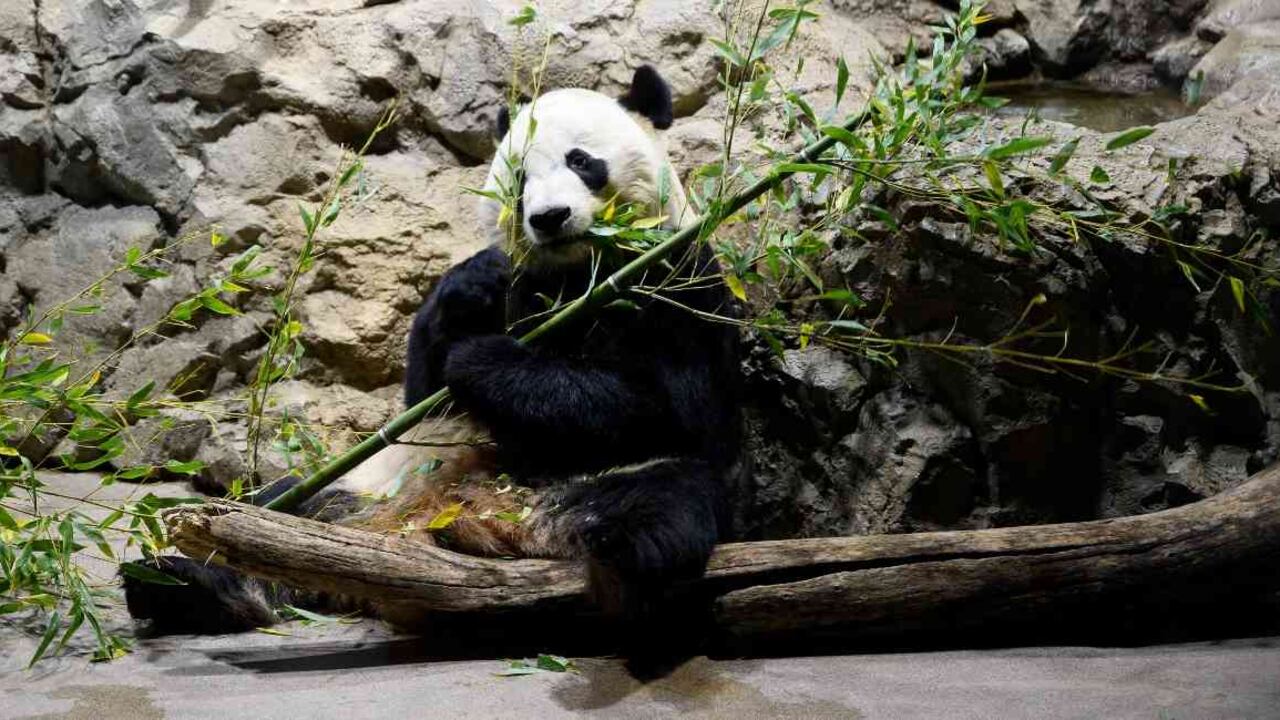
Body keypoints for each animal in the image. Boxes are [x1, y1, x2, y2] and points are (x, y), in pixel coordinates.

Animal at [123, 66, 743, 640]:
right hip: (355, 485)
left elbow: (661, 406)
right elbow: (422, 393)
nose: (548, 218)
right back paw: (181, 582)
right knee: (265, 514)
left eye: (581, 160)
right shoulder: (516, 290)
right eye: (519, 178)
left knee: (660, 510)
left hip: (603, 483)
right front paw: (471, 290)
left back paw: (625, 564)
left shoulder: (676, 276)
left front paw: (483, 363)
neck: (575, 271)